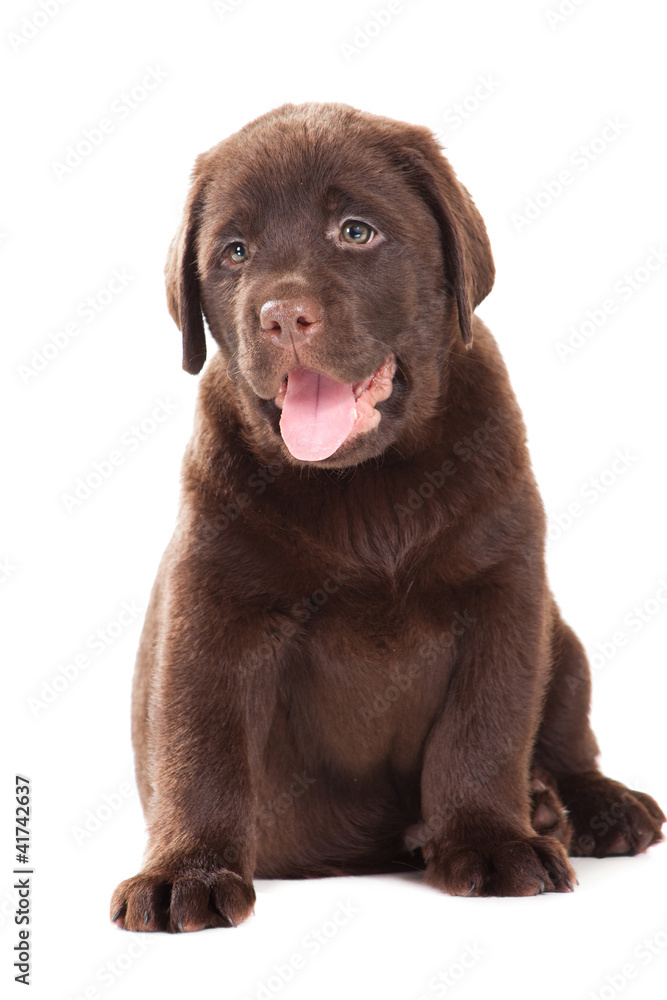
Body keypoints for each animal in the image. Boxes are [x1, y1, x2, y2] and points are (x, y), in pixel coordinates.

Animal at [111, 101, 664, 928]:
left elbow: (484, 727)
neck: (362, 485)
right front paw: (186, 871)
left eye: (355, 232)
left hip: (559, 637)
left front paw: (490, 839)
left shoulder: (504, 592)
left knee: (568, 734)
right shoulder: (210, 607)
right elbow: (199, 744)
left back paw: (583, 806)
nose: (281, 317)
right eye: (234, 252)